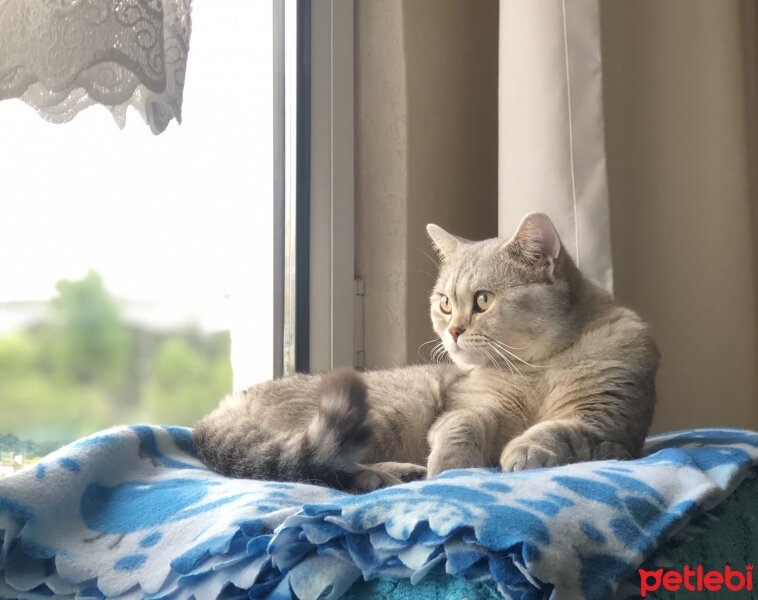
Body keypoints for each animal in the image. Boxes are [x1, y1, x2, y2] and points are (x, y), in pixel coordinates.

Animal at [191, 212, 660, 492]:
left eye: (484, 300)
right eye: (446, 302)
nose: (452, 331)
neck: (537, 367)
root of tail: (225, 404)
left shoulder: (607, 422)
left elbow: (558, 430)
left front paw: (523, 451)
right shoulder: (469, 407)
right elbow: (460, 427)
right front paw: (449, 471)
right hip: (393, 409)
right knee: (324, 467)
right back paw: (394, 474)